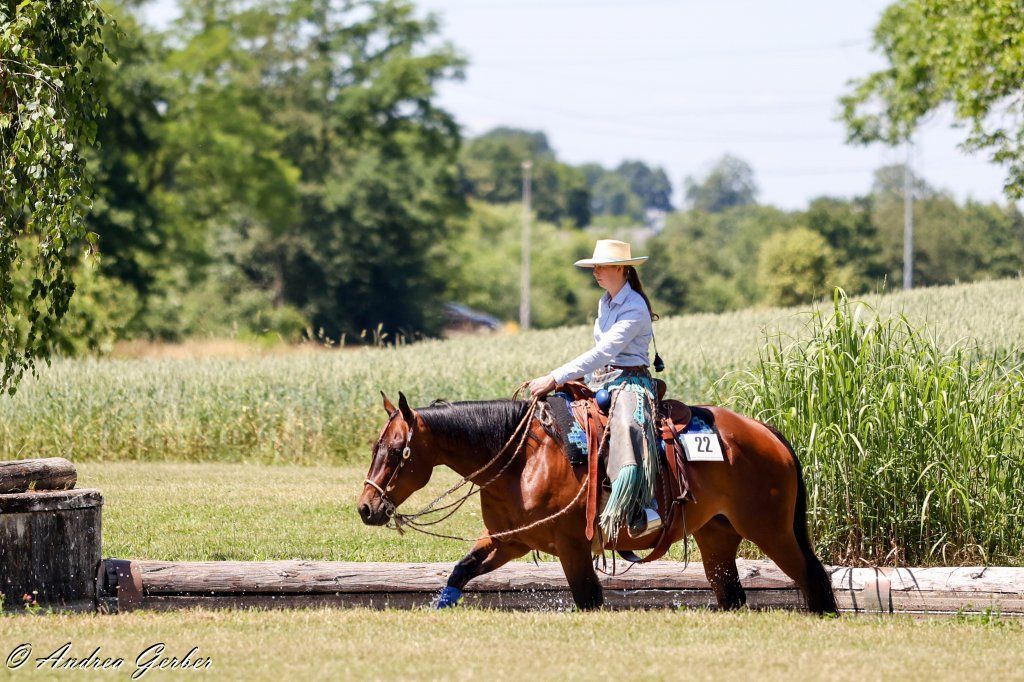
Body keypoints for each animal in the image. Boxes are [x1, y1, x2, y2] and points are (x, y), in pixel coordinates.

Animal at [358, 390, 838, 614]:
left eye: (398, 451)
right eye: (375, 446)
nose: (366, 507)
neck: (523, 460)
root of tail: (765, 432)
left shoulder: (572, 548)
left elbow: (588, 598)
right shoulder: (508, 540)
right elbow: (461, 570)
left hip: (771, 530)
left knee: (813, 576)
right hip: (716, 536)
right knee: (732, 592)